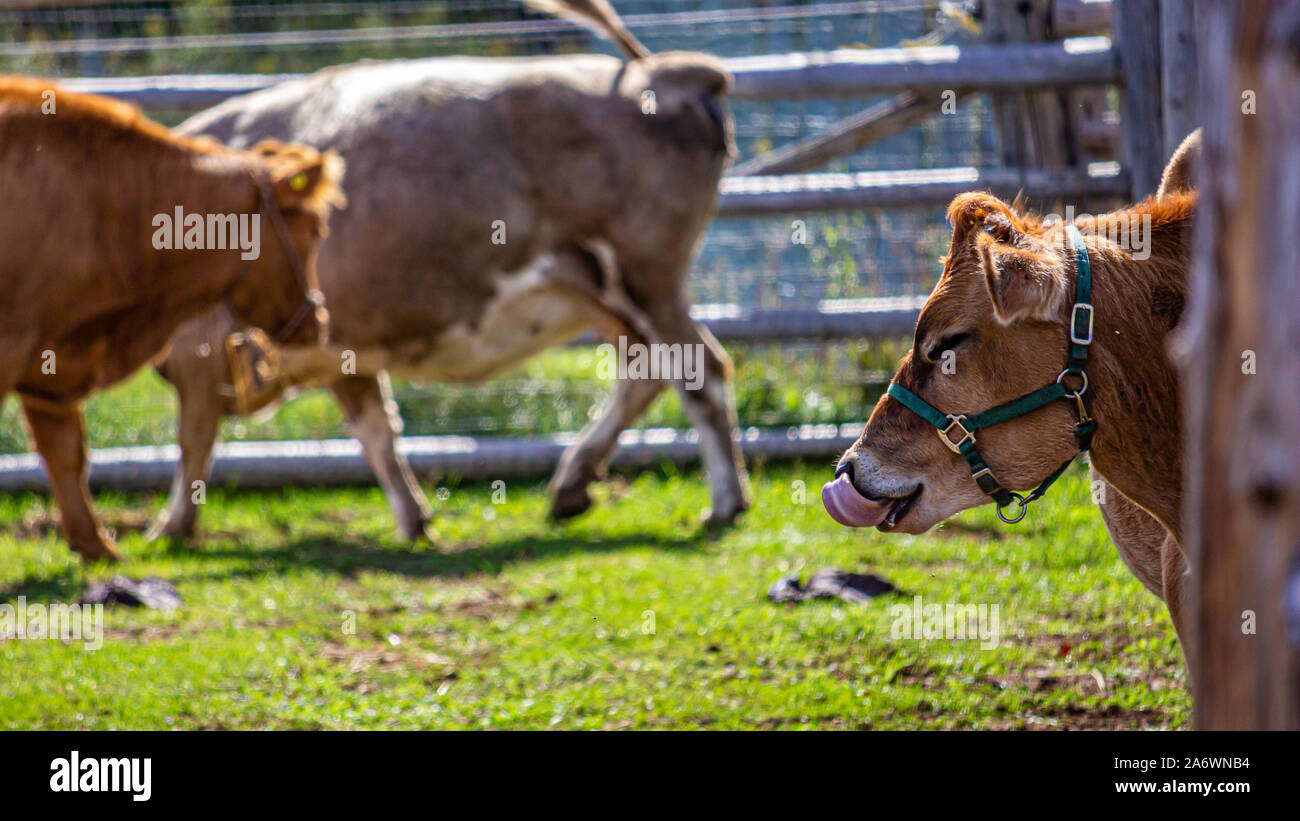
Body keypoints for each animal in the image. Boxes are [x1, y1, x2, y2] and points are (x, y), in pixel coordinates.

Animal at [0, 76, 340, 562]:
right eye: (316, 230)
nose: (319, 321)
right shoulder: (14, 344)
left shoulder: (50, 357)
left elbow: (66, 452)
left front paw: (96, 545)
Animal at [149, 0, 750, 543]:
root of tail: (665, 72)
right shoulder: (342, 351)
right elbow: (377, 431)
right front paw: (414, 521)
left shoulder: (200, 348)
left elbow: (193, 440)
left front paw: (170, 528)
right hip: (602, 290)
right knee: (649, 369)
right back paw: (571, 489)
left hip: (644, 274)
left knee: (701, 369)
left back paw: (724, 505)